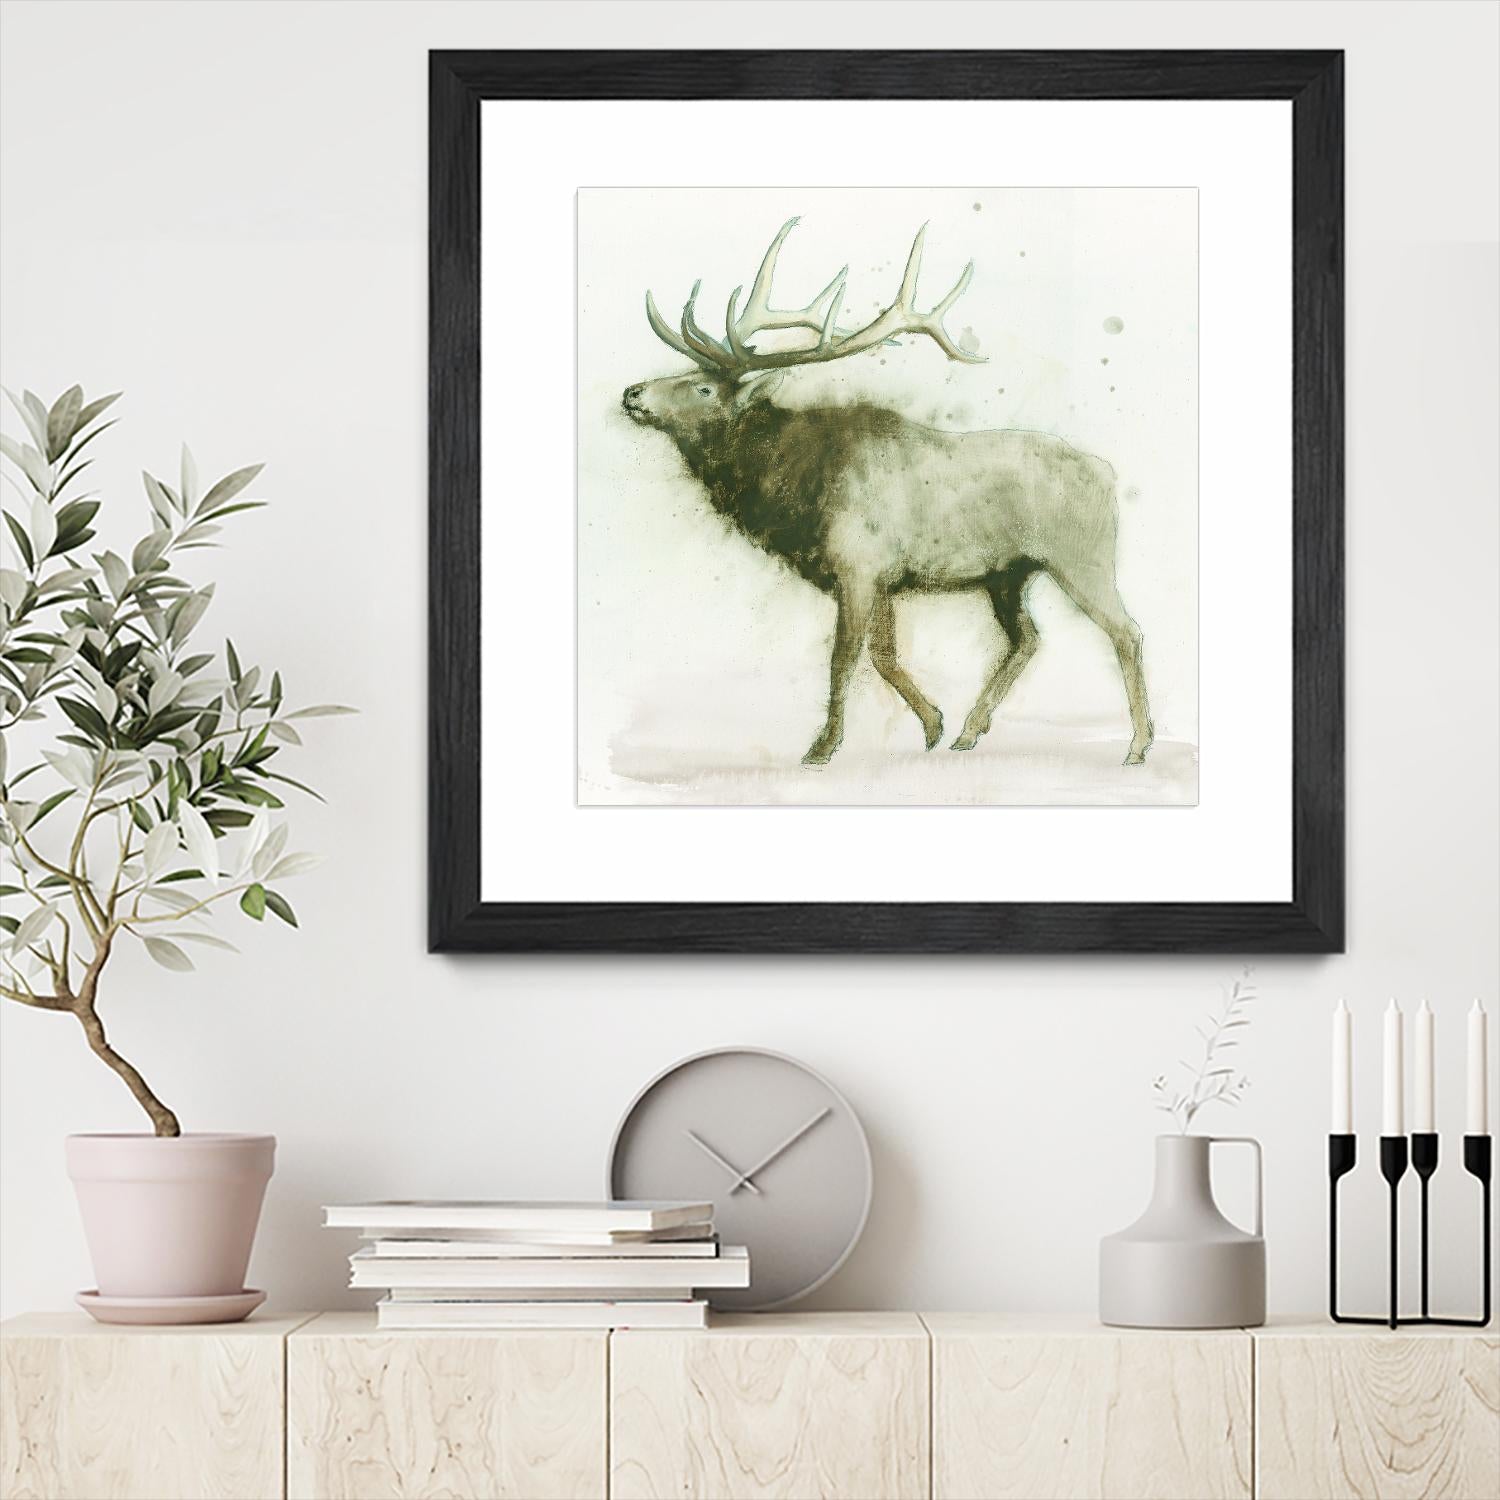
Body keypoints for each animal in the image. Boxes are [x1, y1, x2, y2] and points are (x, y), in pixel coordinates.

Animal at [621, 217, 1154, 769]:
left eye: (703, 388)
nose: (632, 393)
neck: (792, 494)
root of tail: (1107, 474)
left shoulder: (858, 566)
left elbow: (844, 659)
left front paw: (822, 747)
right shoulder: (883, 579)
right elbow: (883, 655)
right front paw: (934, 724)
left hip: (1081, 556)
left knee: (1127, 631)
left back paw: (1137, 745)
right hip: (1007, 574)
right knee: (1028, 639)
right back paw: (970, 729)